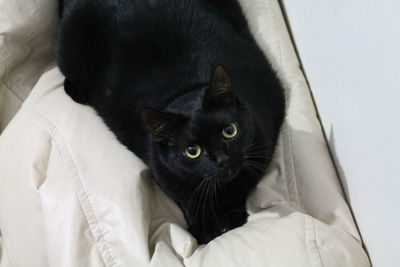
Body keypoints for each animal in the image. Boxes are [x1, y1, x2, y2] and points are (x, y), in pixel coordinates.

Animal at [57, 0, 284, 245]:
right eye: (192, 151)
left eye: (230, 131)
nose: (222, 160)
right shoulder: (166, 176)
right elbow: (189, 202)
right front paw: (206, 228)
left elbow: (242, 186)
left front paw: (232, 217)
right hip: (69, 50)